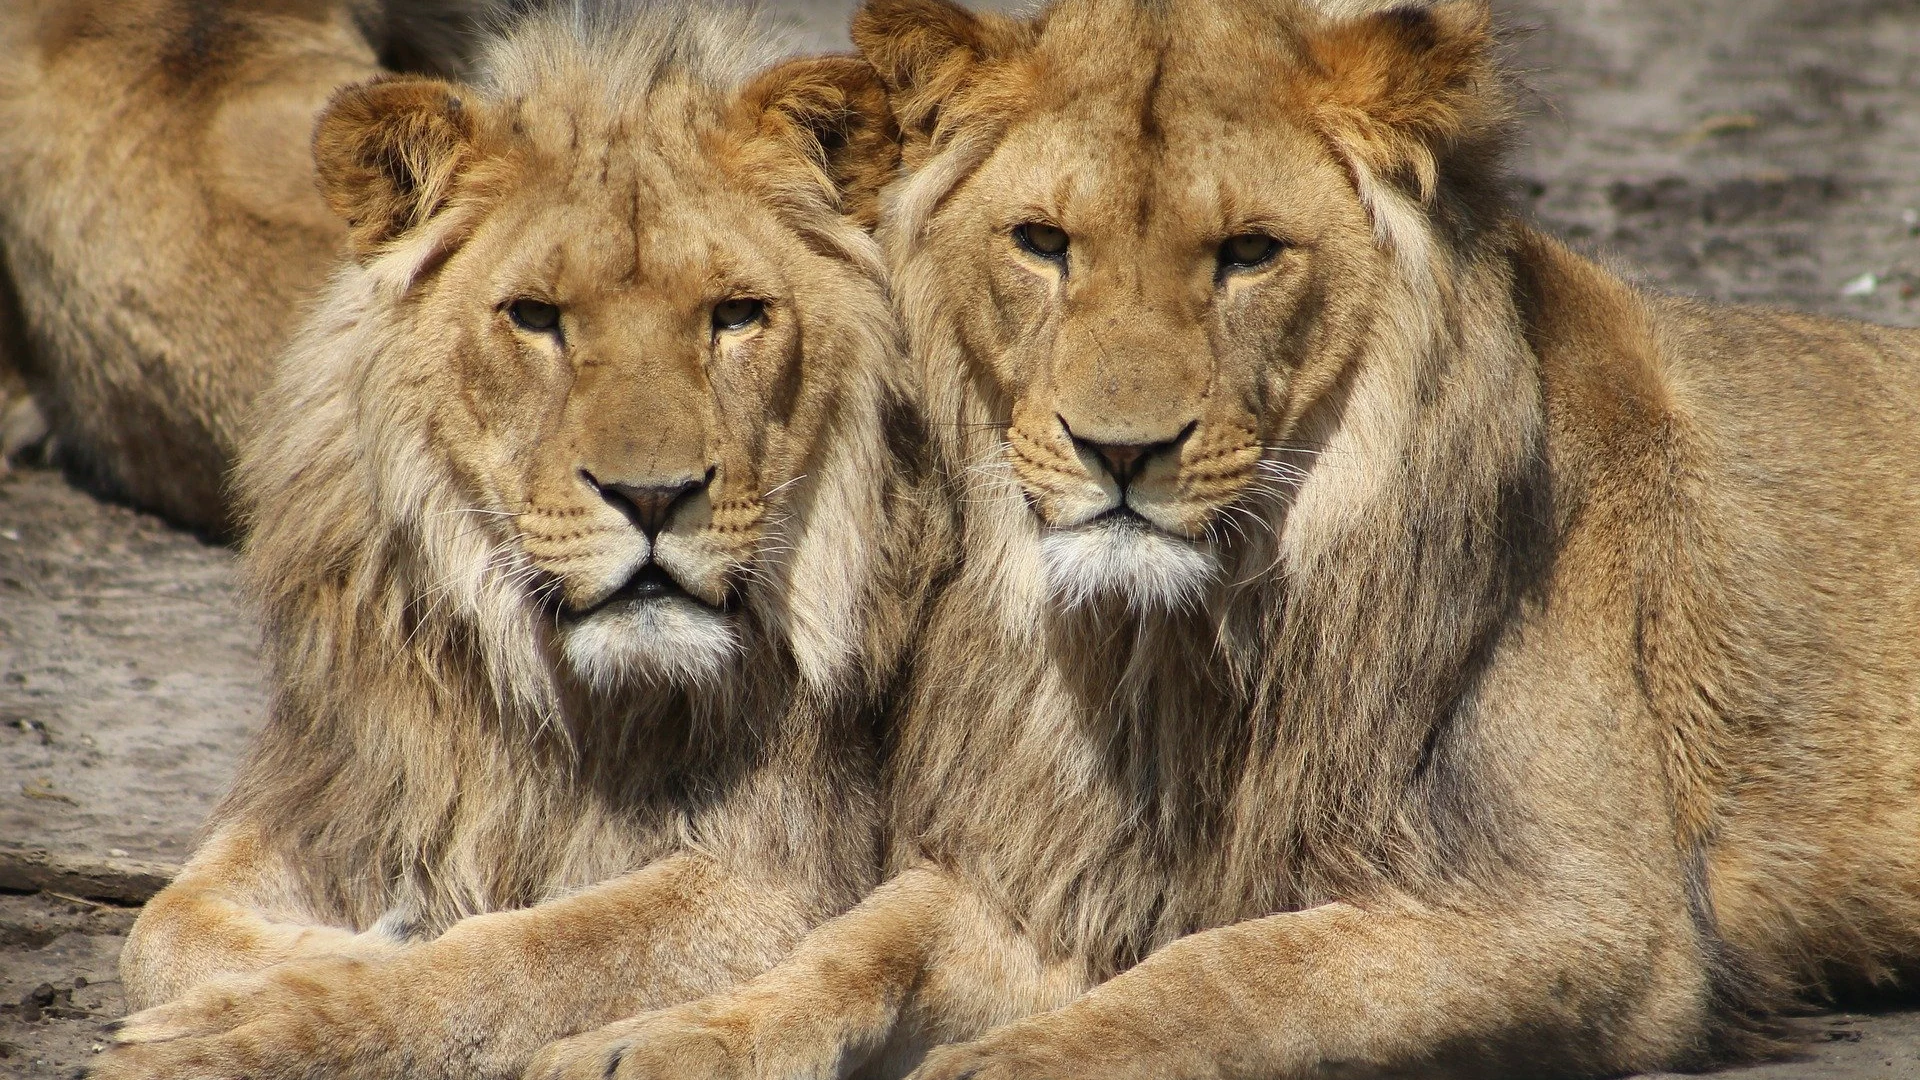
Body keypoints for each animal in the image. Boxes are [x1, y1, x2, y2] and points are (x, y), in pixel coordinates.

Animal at [84, 2, 936, 1076]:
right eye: (535, 317)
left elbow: (526, 951)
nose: (652, 497)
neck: (565, 698)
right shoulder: (352, 785)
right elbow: (159, 927)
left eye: (737, 315)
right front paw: (334, 948)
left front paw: (256, 1021)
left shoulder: (785, 873)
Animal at [529, 2, 1920, 1076]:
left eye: (1250, 254)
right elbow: (864, 939)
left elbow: (1232, 972)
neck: (1174, 649)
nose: (1120, 454)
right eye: (1044, 244)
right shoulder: (1049, 863)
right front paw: (669, 1035)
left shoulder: (1591, 914)